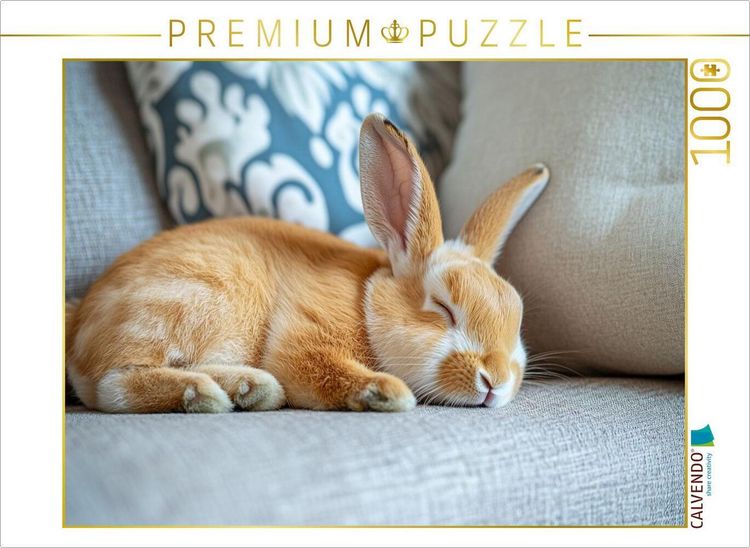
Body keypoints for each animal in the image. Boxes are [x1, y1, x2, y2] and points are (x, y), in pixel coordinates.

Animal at [65, 113, 549, 413]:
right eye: (443, 308)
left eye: (518, 320)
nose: (495, 380)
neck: (364, 303)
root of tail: (80, 321)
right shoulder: (304, 334)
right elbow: (320, 369)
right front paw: (386, 392)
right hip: (188, 301)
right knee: (110, 386)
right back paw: (204, 394)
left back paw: (250, 389)